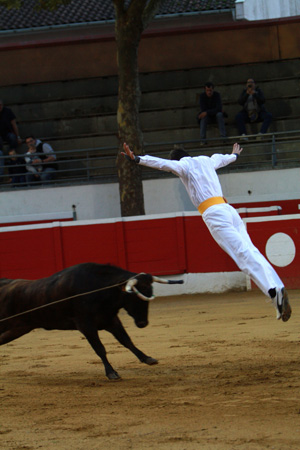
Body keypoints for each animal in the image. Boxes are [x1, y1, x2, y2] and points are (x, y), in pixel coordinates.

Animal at [0, 262, 183, 378]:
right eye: (134, 297)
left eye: (149, 293)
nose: (142, 323)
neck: (99, 288)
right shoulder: (86, 325)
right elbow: (100, 349)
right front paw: (111, 373)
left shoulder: (111, 320)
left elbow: (126, 341)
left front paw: (147, 358)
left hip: (18, 328)